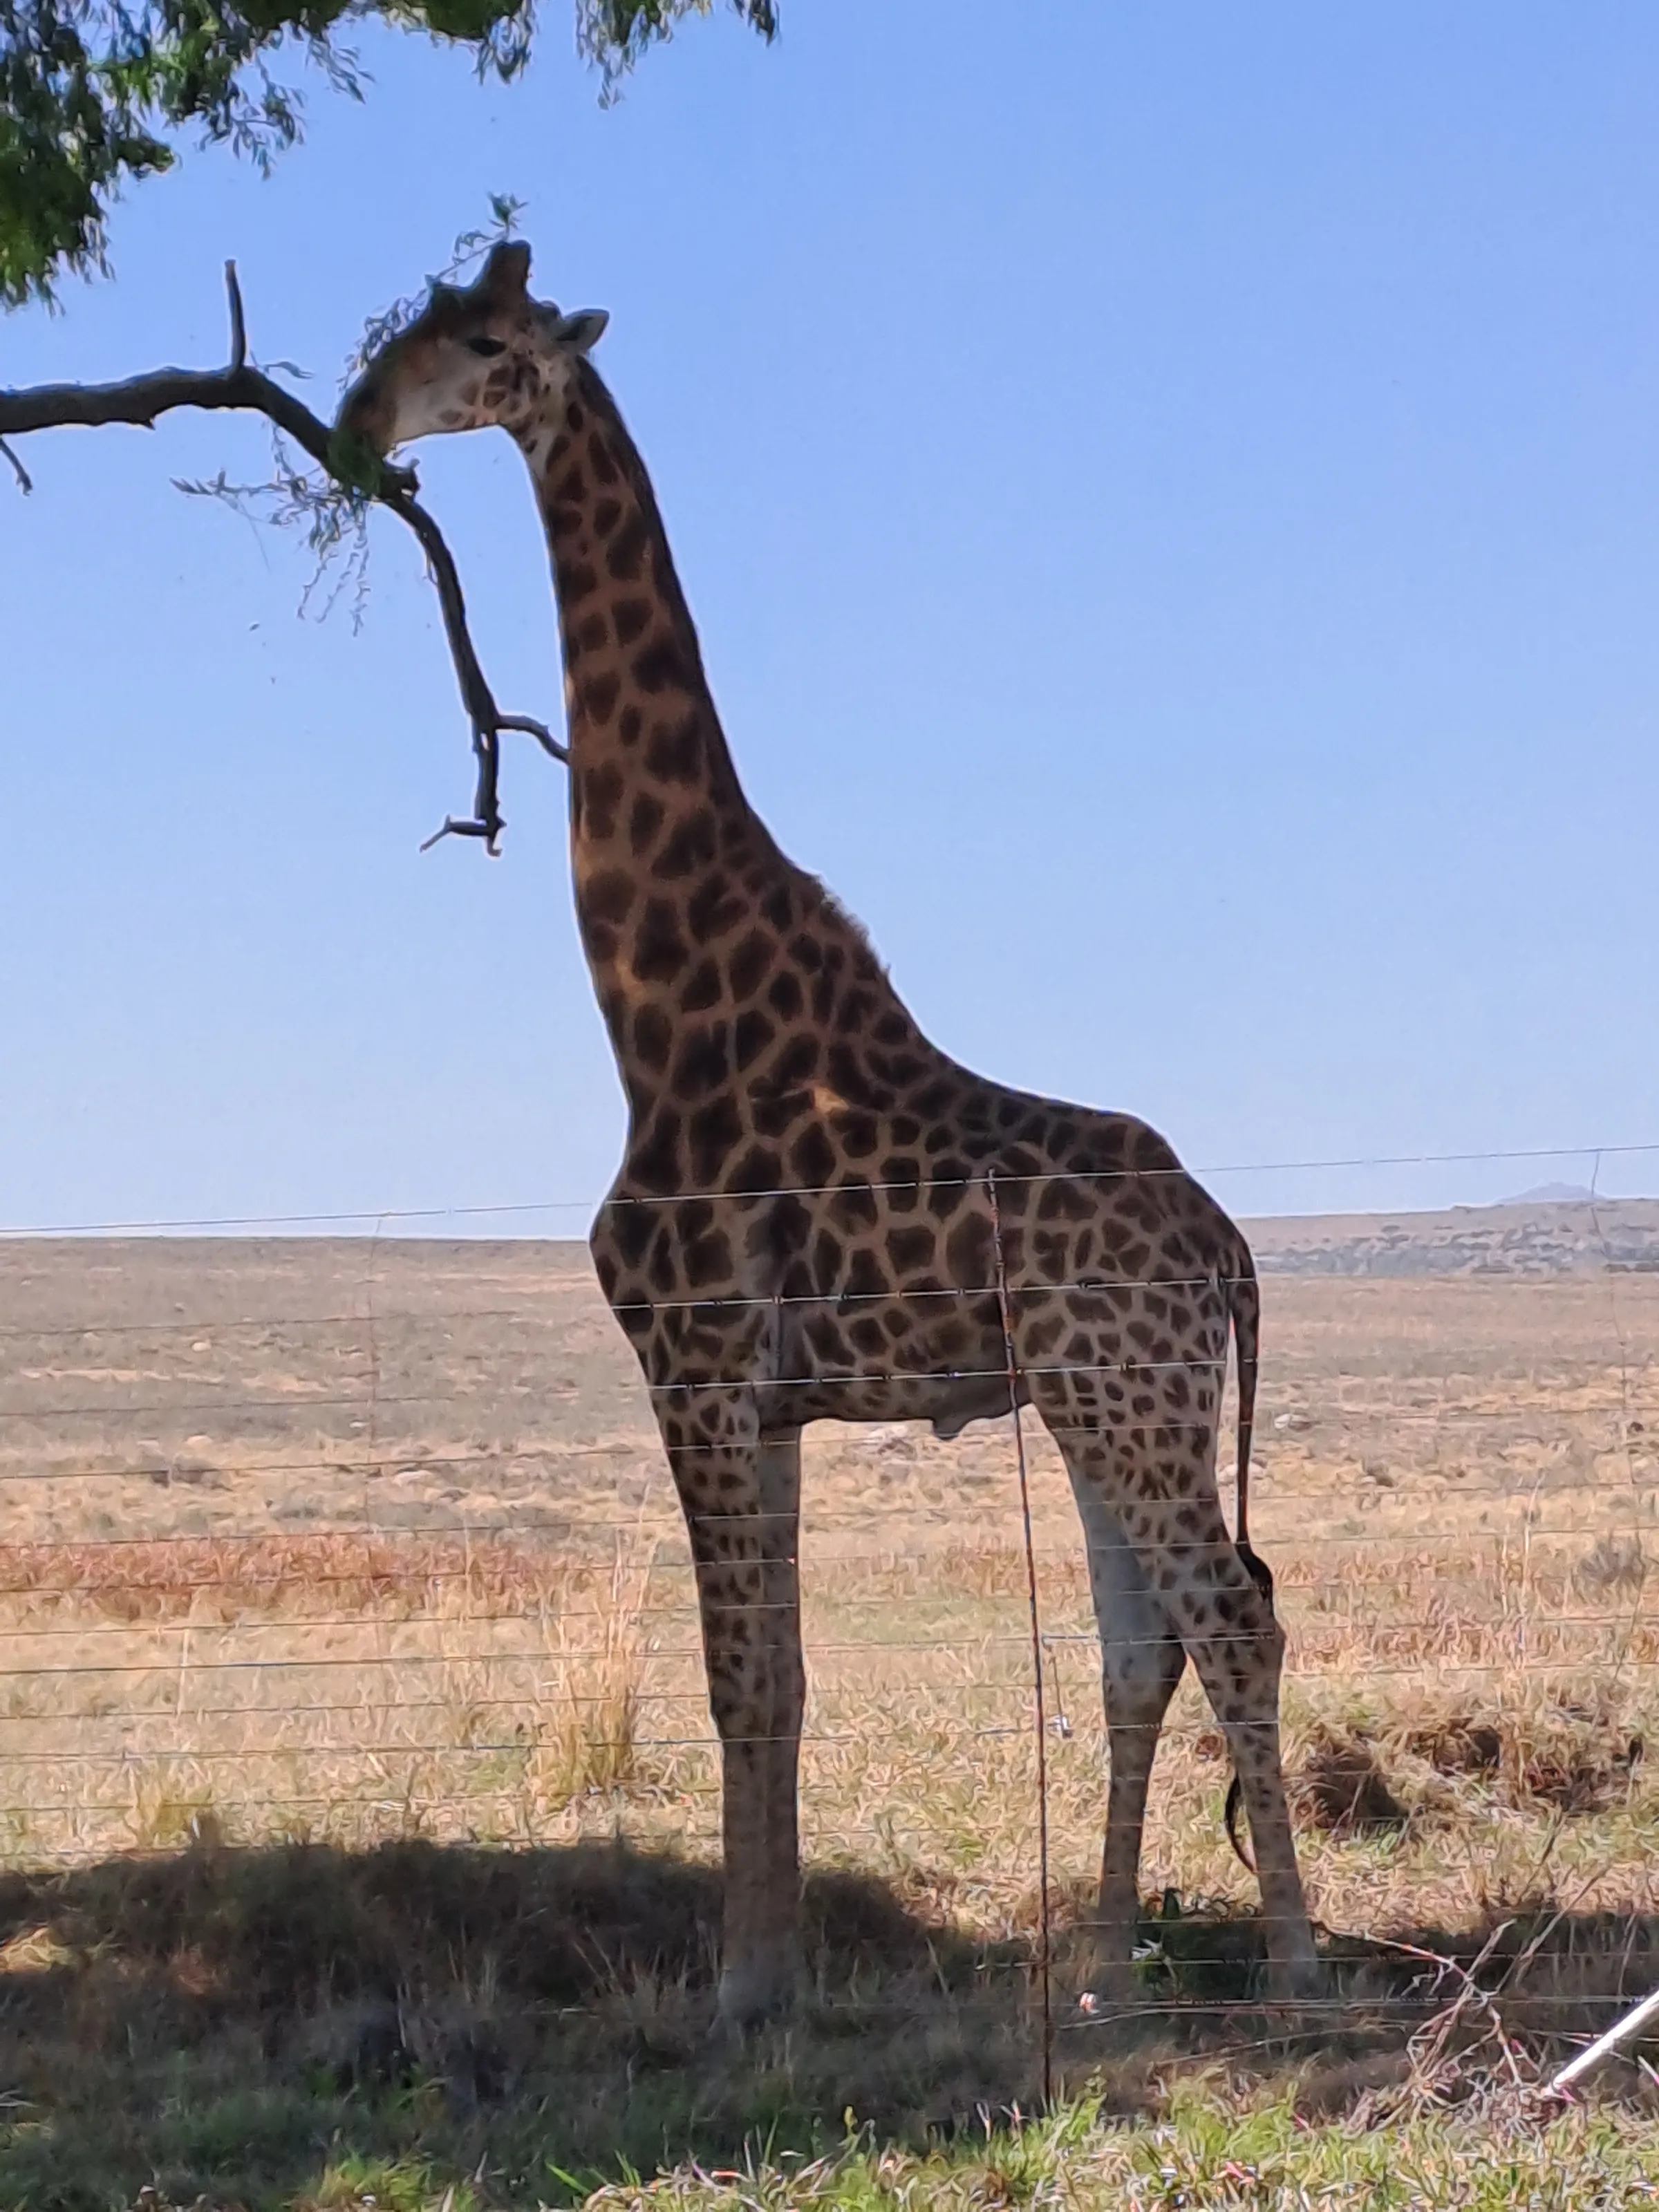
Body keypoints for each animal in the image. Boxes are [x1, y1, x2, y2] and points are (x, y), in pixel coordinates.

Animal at [340, 240, 1322, 2025]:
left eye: (483, 340)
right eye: (408, 322)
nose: (359, 416)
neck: (649, 1003)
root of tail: (1224, 1244)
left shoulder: (694, 1360)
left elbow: (740, 1679)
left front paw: (743, 1987)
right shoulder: (769, 1396)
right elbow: (781, 1679)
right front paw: (778, 1968)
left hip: (1127, 1395)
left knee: (1232, 1612)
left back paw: (1294, 1963)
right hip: (1099, 1399)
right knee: (1141, 1640)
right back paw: (1101, 1968)